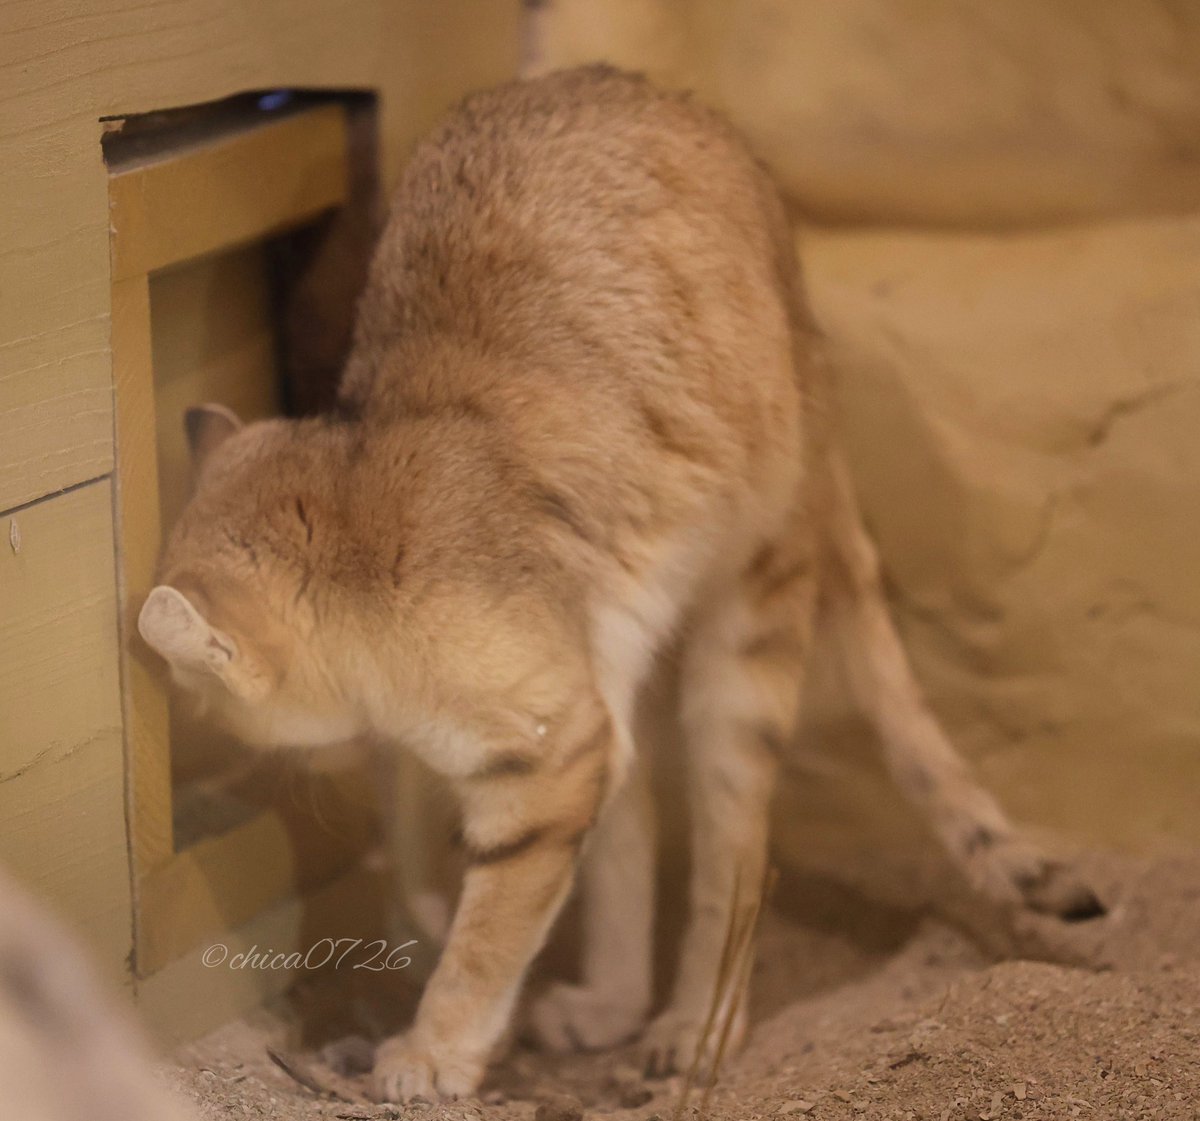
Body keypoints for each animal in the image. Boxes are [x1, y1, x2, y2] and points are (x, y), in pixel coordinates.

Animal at [136, 65, 1099, 1099]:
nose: (194, 721)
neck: (359, 508)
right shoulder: (581, 716)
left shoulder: (546, 752)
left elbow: (488, 935)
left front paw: (431, 1052)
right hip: (624, 651)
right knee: (638, 810)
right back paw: (612, 1004)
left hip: (747, 619)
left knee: (736, 848)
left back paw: (694, 1027)